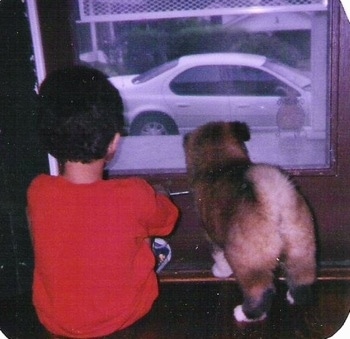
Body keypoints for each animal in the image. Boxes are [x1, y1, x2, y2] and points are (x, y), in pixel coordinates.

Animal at [185, 121, 316, 324]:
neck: (221, 160)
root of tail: (274, 198)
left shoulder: (211, 235)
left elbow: (218, 256)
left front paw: (220, 271)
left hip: (248, 260)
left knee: (261, 291)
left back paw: (246, 314)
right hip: (302, 247)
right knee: (302, 278)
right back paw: (294, 297)